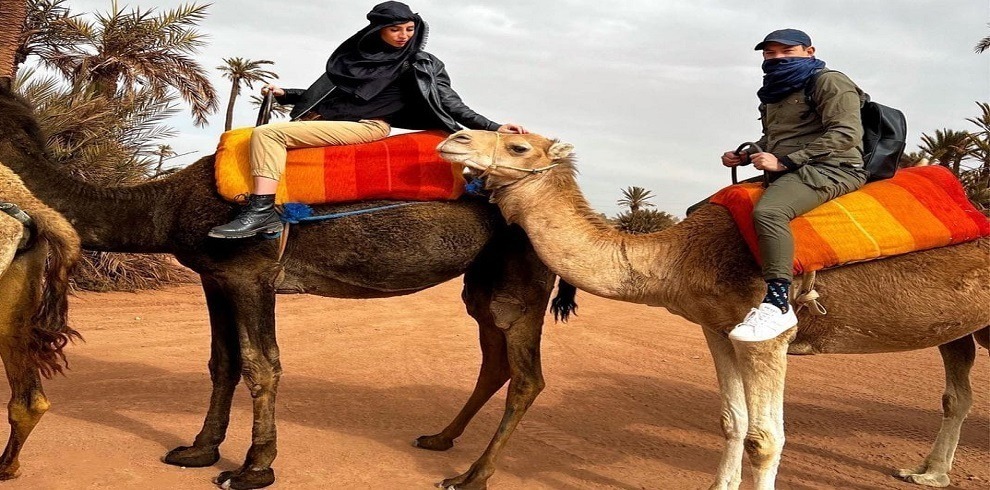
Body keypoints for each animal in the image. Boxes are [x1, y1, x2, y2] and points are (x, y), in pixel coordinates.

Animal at [442, 129, 990, 490]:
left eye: (518, 145)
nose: (454, 138)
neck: (682, 255)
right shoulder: (717, 327)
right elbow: (733, 421)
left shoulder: (770, 337)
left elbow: (766, 439)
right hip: (958, 328)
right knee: (957, 395)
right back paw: (929, 473)